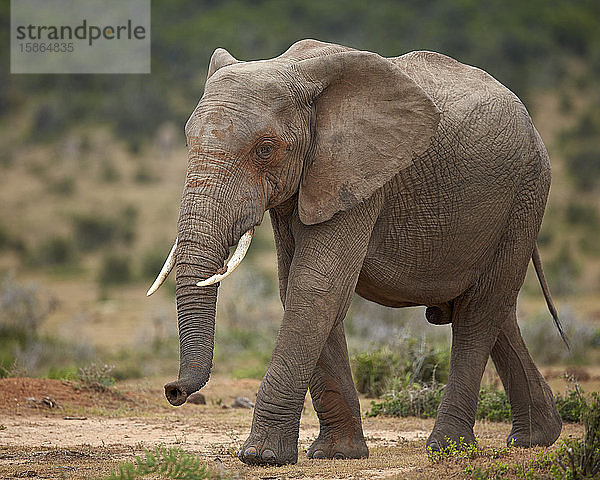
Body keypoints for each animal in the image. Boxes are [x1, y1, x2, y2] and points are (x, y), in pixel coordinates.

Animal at [146, 39, 568, 466]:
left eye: (265, 149)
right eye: (188, 142)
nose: (174, 391)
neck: (294, 70)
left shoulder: (359, 179)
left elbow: (316, 286)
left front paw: (261, 456)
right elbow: (299, 287)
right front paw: (338, 453)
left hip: (526, 196)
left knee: (479, 314)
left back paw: (448, 447)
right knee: (496, 311)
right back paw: (537, 438)